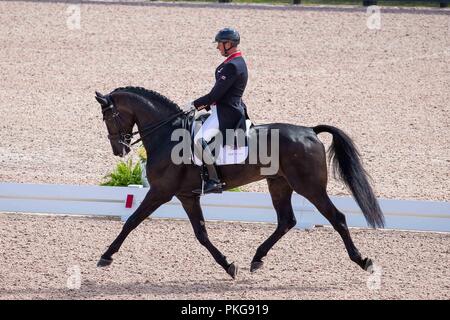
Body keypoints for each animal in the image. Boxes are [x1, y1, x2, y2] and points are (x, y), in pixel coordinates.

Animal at [94, 86, 384, 278]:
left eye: (108, 117)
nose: (119, 150)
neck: (168, 136)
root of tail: (310, 132)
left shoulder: (160, 191)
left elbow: (131, 221)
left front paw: (105, 256)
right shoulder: (187, 195)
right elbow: (201, 233)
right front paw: (229, 265)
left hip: (309, 187)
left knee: (337, 218)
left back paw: (363, 261)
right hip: (279, 184)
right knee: (286, 221)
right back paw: (256, 259)